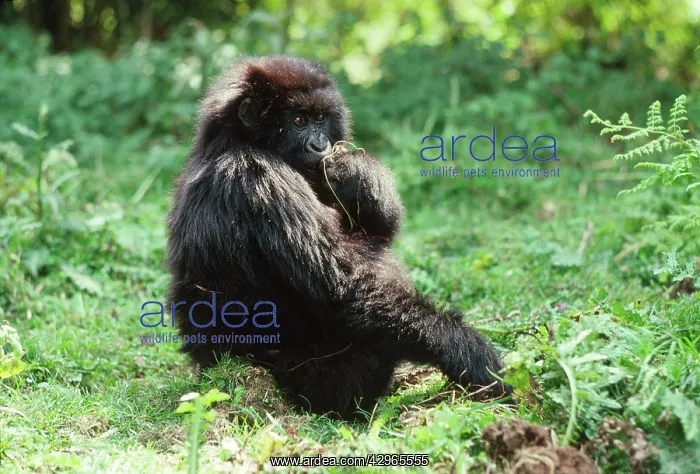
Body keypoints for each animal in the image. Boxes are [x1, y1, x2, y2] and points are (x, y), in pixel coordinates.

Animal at [167, 55, 511, 418]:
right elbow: (341, 288)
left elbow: (378, 228)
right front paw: (464, 349)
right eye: (298, 120)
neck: (234, 140)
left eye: (320, 118)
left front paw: (357, 171)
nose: (321, 145)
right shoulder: (258, 175)